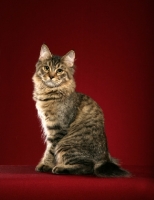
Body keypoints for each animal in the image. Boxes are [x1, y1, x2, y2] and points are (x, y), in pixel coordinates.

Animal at [32, 43, 130, 177]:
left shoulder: (57, 128)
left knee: (88, 167)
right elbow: (48, 149)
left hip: (65, 144)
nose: (51, 76)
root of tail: (104, 159)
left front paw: (45, 165)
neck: (49, 93)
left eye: (59, 70)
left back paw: (61, 168)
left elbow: (50, 150)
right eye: (46, 68)